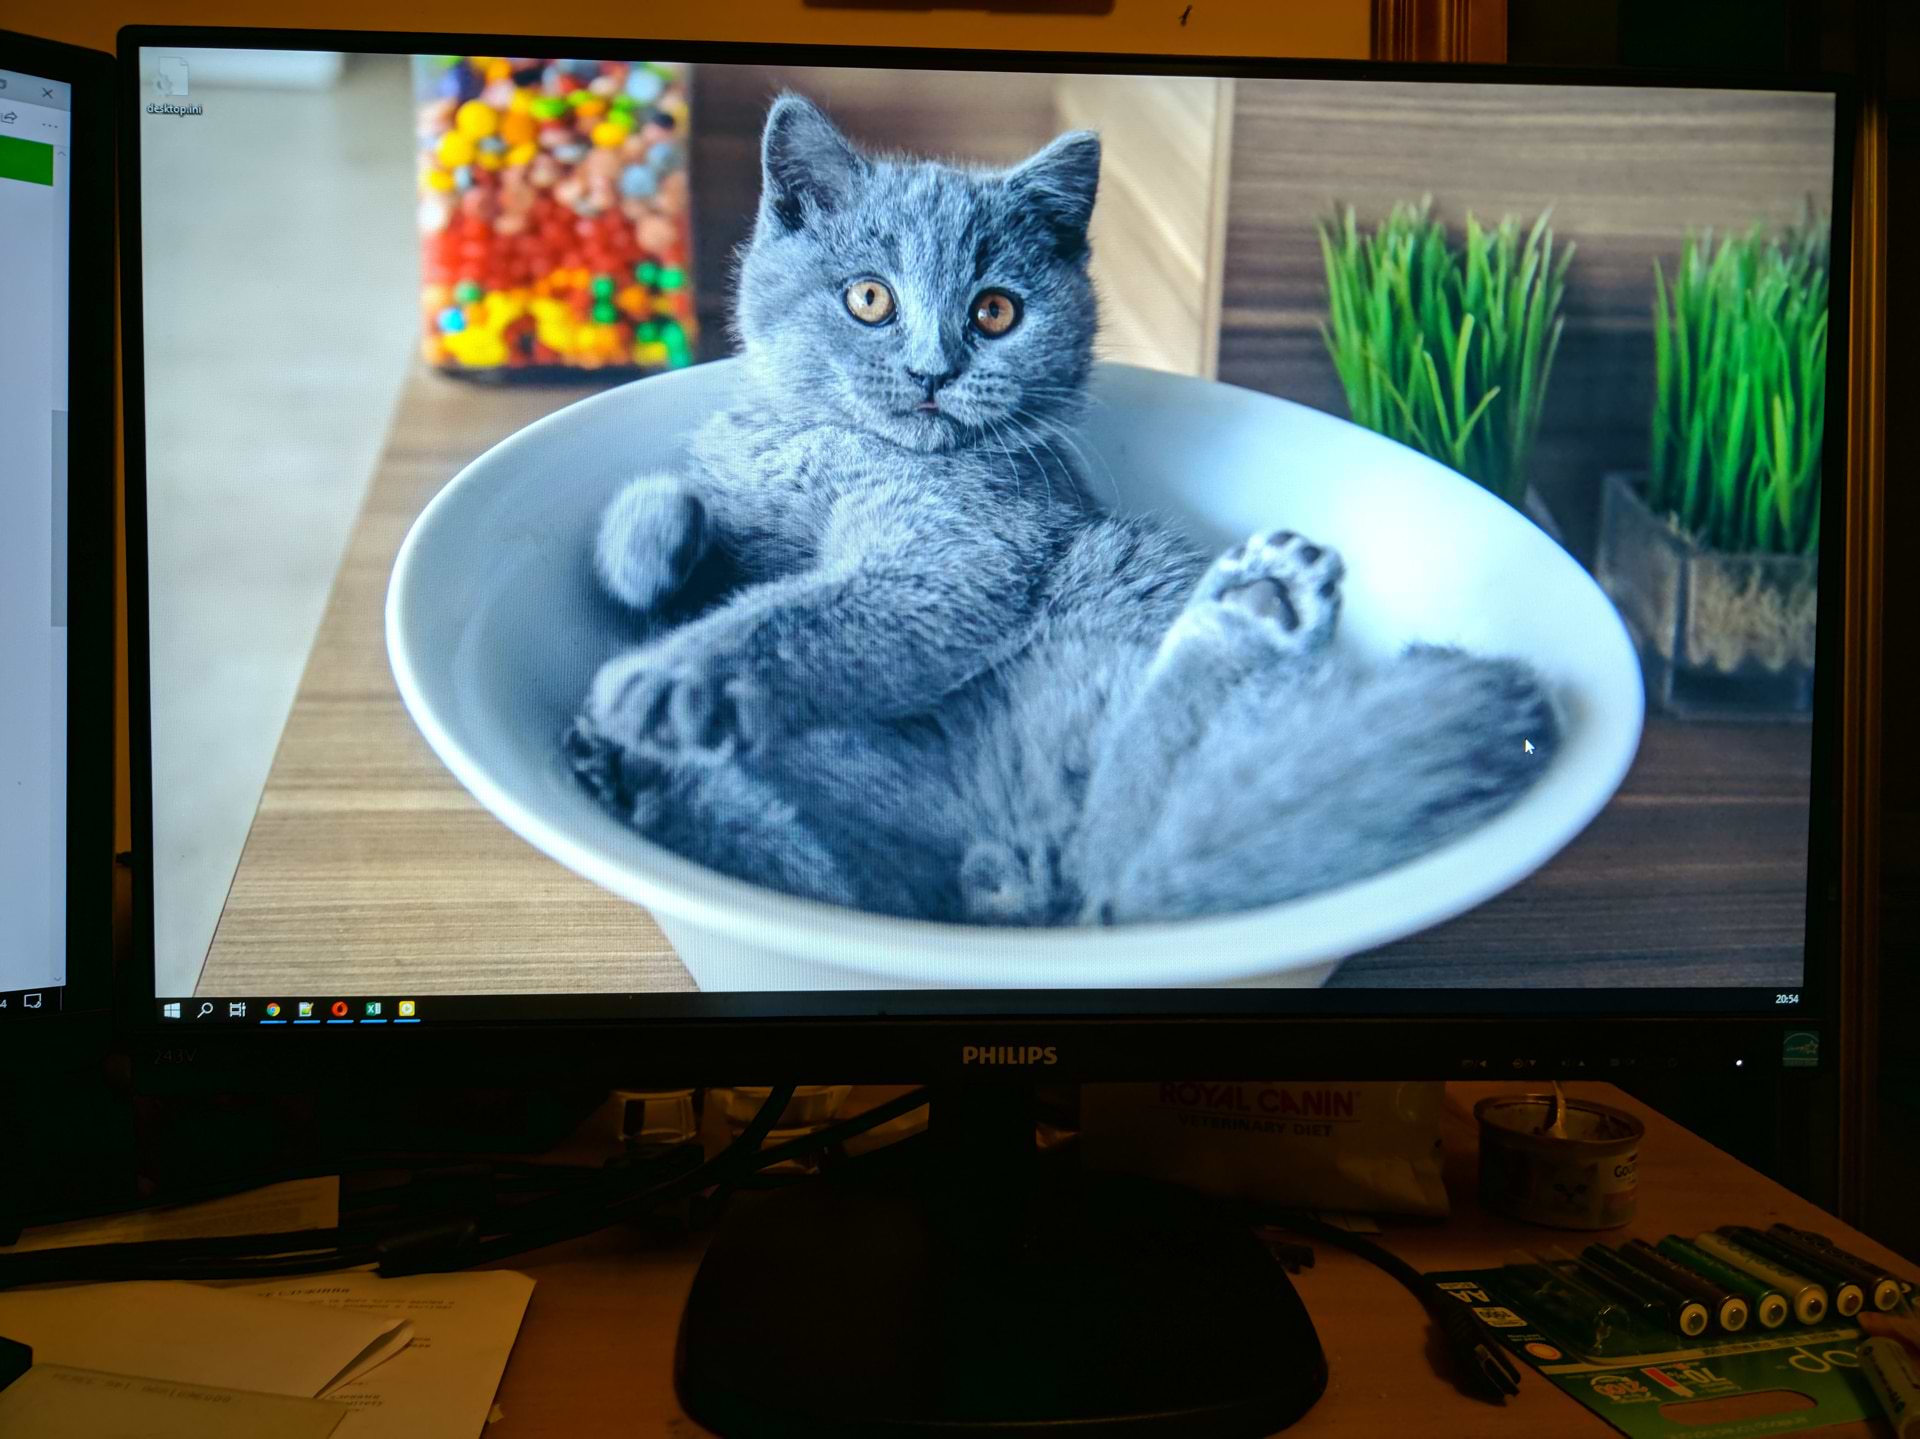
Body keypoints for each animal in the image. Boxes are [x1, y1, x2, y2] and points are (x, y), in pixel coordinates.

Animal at [563, 94, 1557, 928]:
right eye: (869, 298)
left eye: (996, 312)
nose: (933, 371)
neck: (836, 446)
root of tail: (1005, 886)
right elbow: (681, 538)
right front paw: (657, 536)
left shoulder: (960, 555)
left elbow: (801, 611)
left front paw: (670, 677)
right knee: (850, 875)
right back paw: (626, 772)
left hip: (1097, 632)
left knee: (1131, 853)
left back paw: (1258, 608)